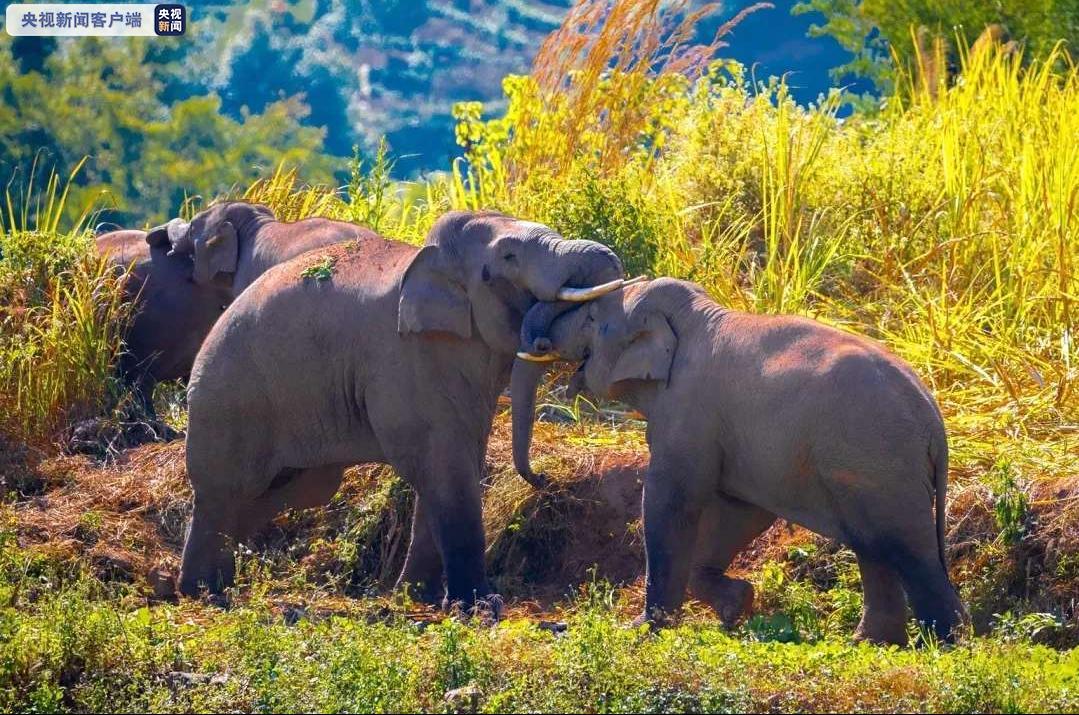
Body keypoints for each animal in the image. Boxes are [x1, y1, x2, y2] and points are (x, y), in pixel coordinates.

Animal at [180, 210, 630, 608]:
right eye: (509, 257)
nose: (544, 480)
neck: (430, 258)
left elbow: (458, 459)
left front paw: (416, 597)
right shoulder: (404, 359)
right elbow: (443, 464)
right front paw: (479, 606)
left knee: (287, 490)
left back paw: (219, 582)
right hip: (229, 400)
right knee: (224, 490)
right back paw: (202, 592)